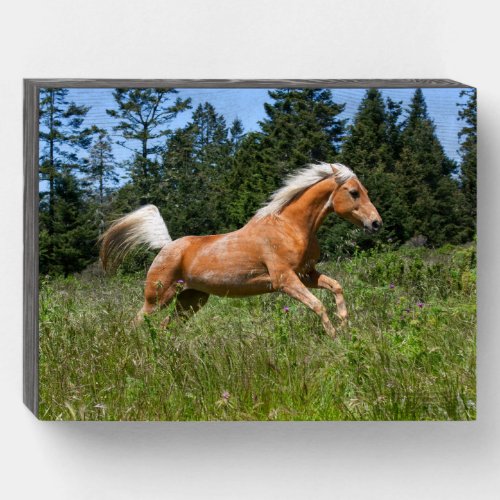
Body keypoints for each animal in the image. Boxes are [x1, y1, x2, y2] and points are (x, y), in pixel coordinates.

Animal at [101, 162, 382, 338]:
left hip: (191, 300)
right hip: (158, 298)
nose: (376, 223)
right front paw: (335, 337)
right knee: (138, 322)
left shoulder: (307, 275)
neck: (290, 227)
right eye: (354, 192)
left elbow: (336, 287)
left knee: (165, 326)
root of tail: (167, 245)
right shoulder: (285, 280)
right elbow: (318, 305)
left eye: (366, 191)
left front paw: (345, 325)